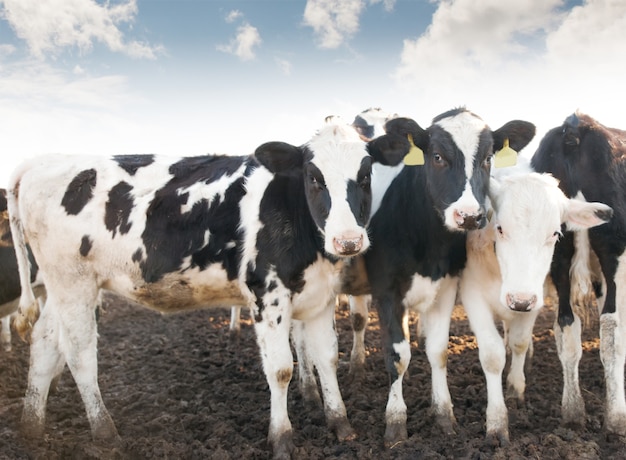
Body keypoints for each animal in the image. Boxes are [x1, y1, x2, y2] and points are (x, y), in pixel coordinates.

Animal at [8, 119, 410, 460]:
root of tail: (40, 162)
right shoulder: (267, 294)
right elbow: (281, 368)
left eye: (365, 175)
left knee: (45, 341)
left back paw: (31, 427)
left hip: (61, 285)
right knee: (78, 353)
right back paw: (105, 433)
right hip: (73, 281)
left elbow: (326, 358)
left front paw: (340, 423)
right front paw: (282, 438)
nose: (348, 241)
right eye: (314, 177)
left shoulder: (320, 295)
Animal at [338, 107, 532, 446]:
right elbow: (396, 355)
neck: (428, 241)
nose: (468, 216)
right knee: (353, 322)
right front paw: (395, 422)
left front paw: (443, 414)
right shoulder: (387, 290)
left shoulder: (446, 286)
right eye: (438, 156)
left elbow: (438, 350)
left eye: (487, 158)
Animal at [458, 167, 608, 444]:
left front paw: (516, 388)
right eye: (500, 229)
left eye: (555, 234)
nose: (519, 300)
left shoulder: (533, 299)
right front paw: (496, 423)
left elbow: (520, 341)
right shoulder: (472, 294)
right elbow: (492, 355)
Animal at [528, 113, 626, 436]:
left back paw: (572, 411)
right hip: (614, 254)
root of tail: (576, 128)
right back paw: (616, 418)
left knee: (567, 327)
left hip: (558, 254)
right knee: (611, 331)